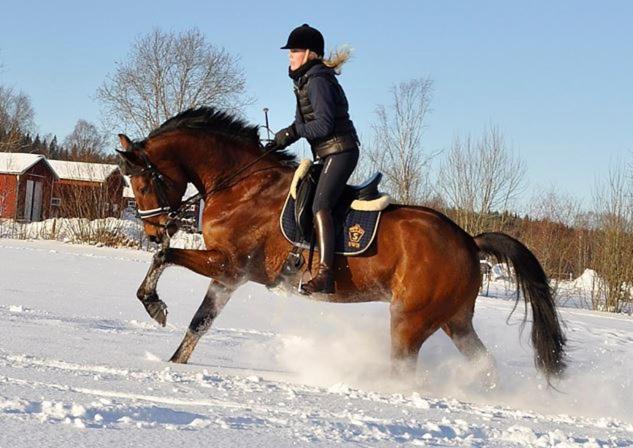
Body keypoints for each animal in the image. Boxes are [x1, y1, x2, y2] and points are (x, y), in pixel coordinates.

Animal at [116, 107, 564, 384]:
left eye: (142, 181)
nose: (154, 229)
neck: (241, 185)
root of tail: (469, 241)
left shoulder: (229, 265)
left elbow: (164, 258)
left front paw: (153, 305)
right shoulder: (228, 278)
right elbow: (200, 322)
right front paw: (175, 364)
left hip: (411, 319)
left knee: (405, 367)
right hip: (454, 318)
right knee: (482, 363)